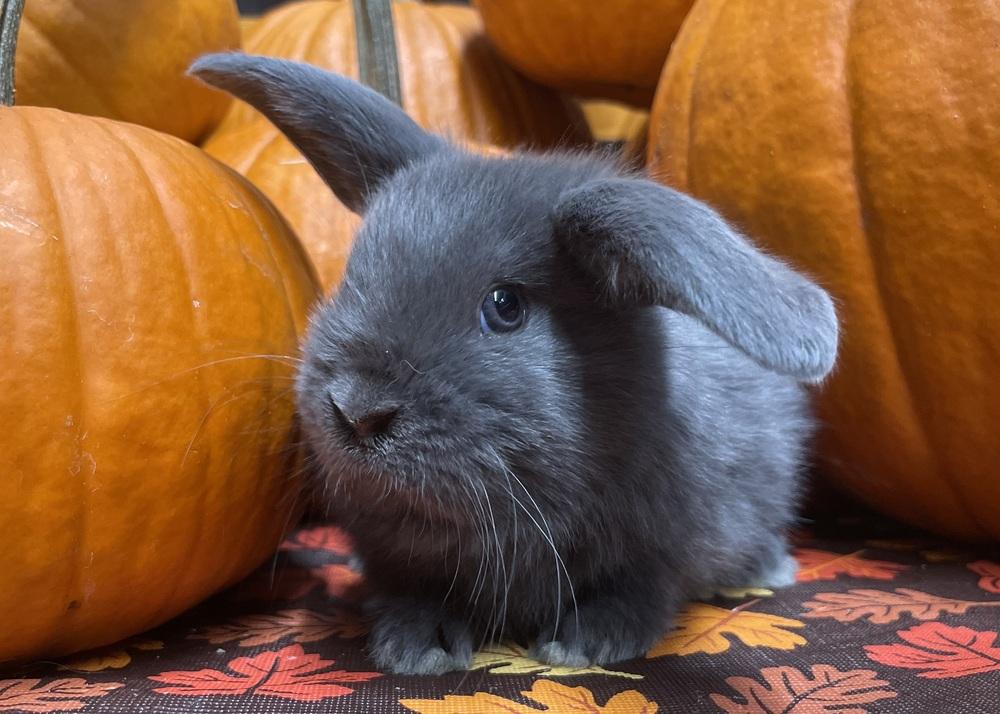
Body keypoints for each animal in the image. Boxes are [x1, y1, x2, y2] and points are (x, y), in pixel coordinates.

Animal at [191, 53, 839, 676]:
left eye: (506, 307)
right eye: (354, 274)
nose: (357, 411)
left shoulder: (659, 553)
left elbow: (640, 592)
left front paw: (585, 643)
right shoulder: (399, 556)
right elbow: (408, 590)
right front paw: (417, 647)